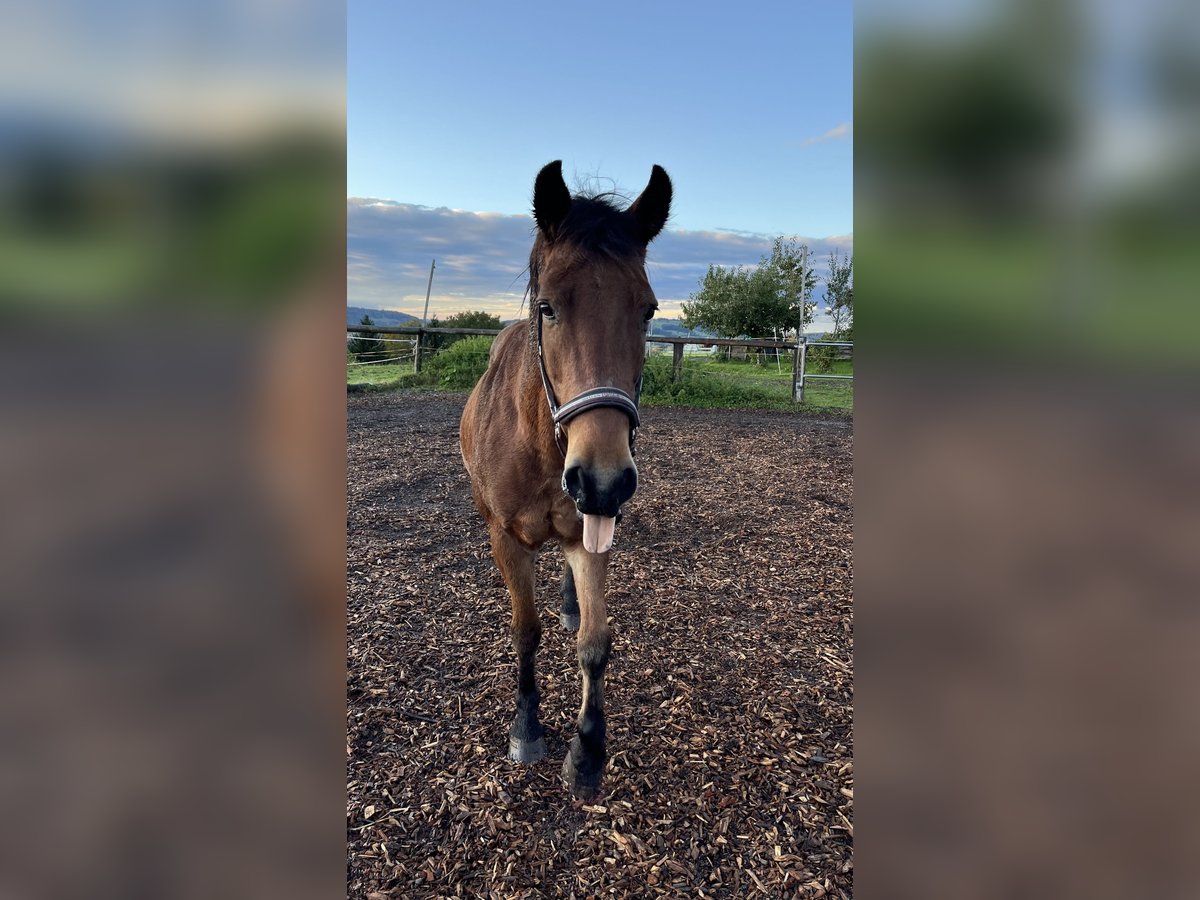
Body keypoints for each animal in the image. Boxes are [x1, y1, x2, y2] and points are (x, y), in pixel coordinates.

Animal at [458, 160, 672, 796]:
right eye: (549, 307)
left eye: (648, 309)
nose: (603, 481)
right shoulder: (506, 537)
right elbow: (525, 630)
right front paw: (527, 727)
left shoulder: (590, 531)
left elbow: (596, 643)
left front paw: (588, 751)